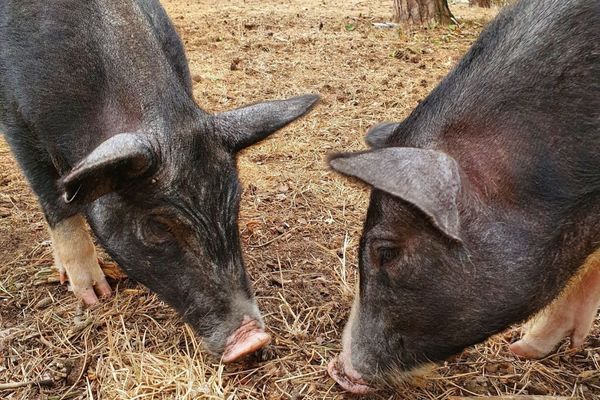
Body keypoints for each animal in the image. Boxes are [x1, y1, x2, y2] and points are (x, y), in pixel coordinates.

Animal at [0, 0, 318, 362]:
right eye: (158, 227)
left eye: (234, 207)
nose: (253, 339)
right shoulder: (16, 119)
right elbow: (56, 203)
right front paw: (96, 296)